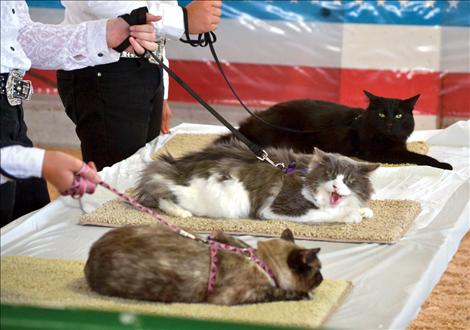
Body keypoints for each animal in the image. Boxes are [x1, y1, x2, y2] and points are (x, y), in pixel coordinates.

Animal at [135, 139, 378, 224]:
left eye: (348, 180)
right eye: (329, 175)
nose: (336, 186)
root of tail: (174, 166)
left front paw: (363, 211)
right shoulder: (277, 208)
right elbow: (326, 214)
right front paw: (352, 216)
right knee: (161, 198)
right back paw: (181, 213)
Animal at [217, 91, 452, 171]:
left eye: (399, 116)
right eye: (381, 115)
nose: (389, 124)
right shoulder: (377, 152)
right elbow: (418, 156)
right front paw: (444, 165)